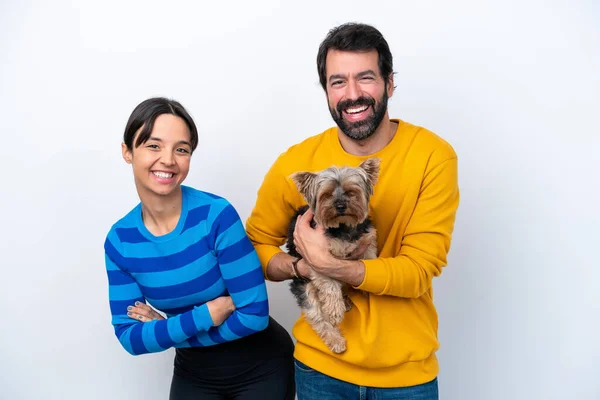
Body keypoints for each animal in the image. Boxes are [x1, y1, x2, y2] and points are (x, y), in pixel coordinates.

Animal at [286, 157, 380, 354]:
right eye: (327, 194)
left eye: (351, 191)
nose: (340, 206)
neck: (343, 226)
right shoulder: (318, 258)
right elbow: (329, 285)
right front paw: (335, 310)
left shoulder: (368, 240)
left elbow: (369, 258)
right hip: (305, 287)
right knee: (318, 317)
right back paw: (336, 339)